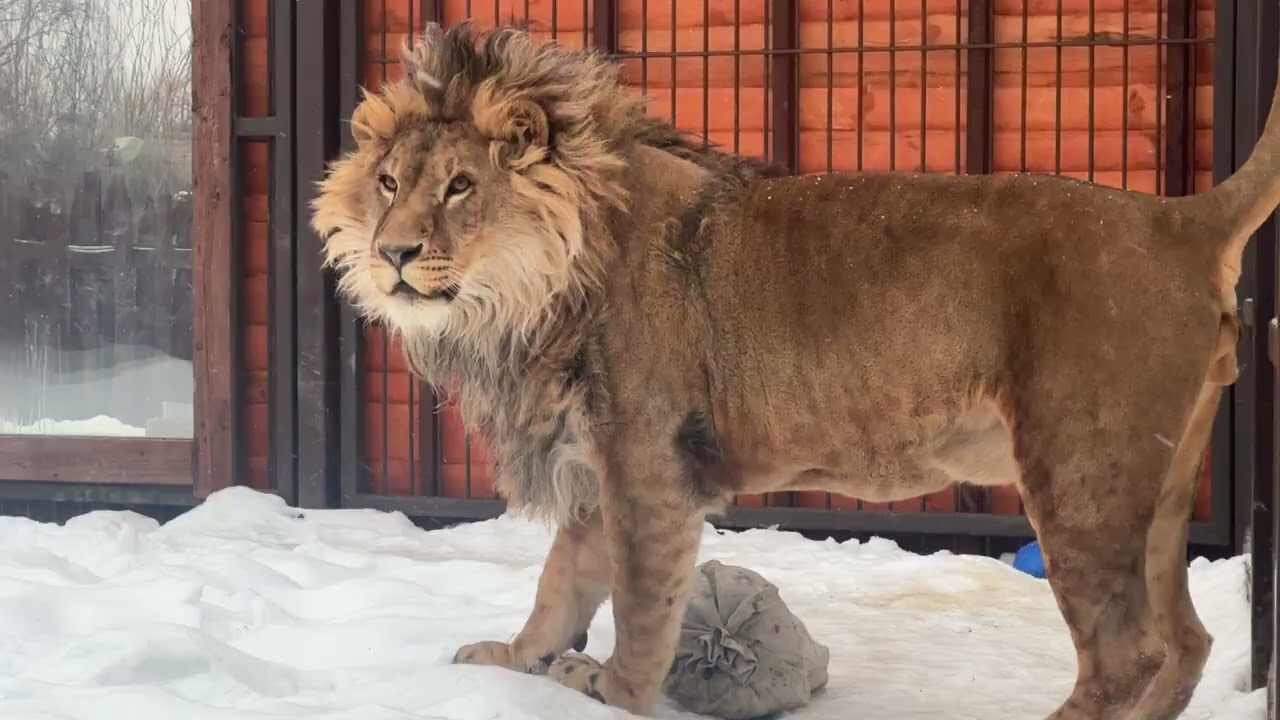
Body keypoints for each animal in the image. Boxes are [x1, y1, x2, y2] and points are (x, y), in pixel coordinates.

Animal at [311, 21, 1275, 720]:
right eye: (389, 183)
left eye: (460, 187)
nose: (391, 254)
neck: (525, 296)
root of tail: (1178, 217)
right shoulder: (593, 460)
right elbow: (560, 583)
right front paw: (513, 660)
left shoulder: (647, 462)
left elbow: (641, 601)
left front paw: (610, 691)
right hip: (1157, 485)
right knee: (1186, 642)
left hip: (1079, 471)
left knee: (1127, 653)